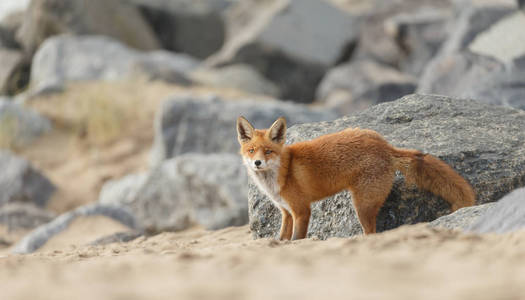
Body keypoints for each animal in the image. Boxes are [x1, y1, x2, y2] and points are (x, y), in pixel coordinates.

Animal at [236, 116, 474, 240]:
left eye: (268, 151)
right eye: (251, 151)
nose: (257, 163)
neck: (283, 174)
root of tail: (385, 147)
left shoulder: (302, 211)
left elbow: (297, 239)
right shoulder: (286, 212)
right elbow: (282, 239)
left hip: (362, 206)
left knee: (371, 233)